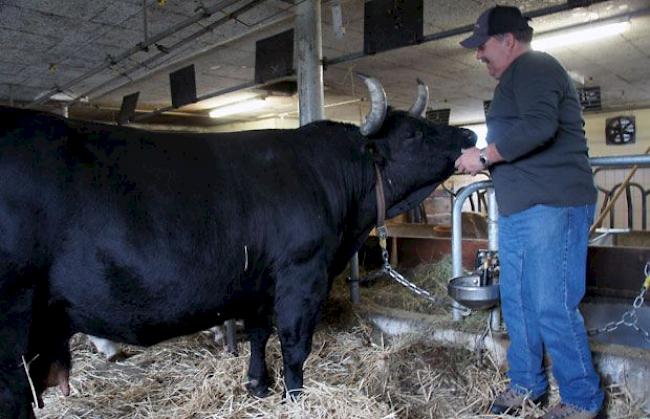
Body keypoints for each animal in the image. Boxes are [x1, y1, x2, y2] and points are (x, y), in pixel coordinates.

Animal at [1, 78, 476, 416]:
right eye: (413, 134)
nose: (469, 137)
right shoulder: (302, 273)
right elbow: (295, 343)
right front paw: (295, 398)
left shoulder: (259, 282)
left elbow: (259, 333)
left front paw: (258, 386)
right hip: (14, 315)